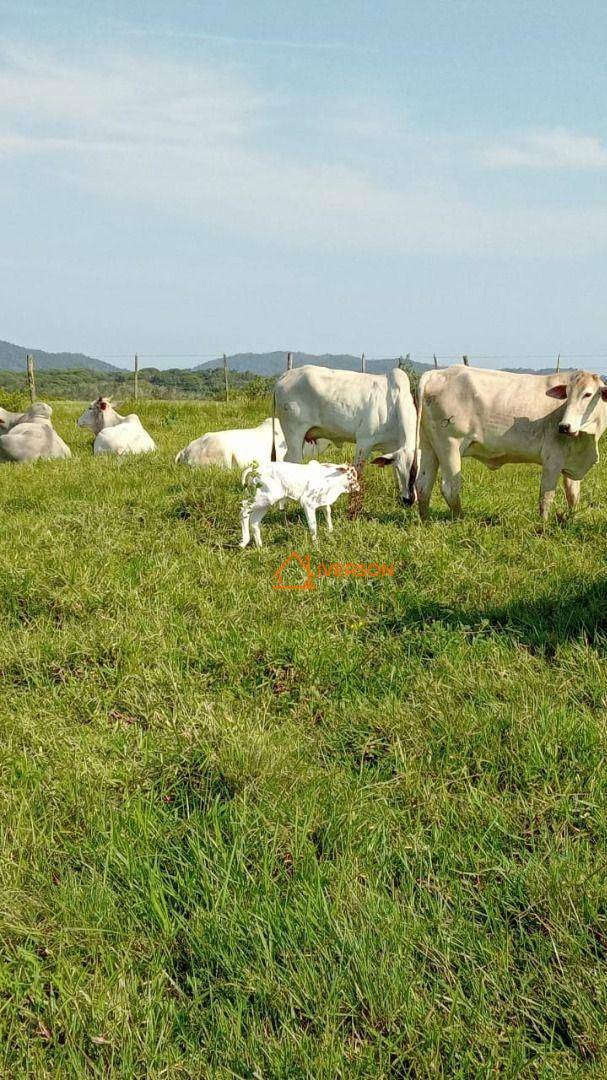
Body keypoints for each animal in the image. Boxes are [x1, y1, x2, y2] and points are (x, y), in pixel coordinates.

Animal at [273, 365, 419, 503]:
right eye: (402, 470)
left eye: (416, 470)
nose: (408, 500)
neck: (393, 406)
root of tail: (286, 375)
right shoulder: (364, 442)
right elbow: (357, 472)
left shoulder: (392, 449)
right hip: (294, 434)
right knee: (291, 460)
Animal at [412, 365, 604, 520]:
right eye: (567, 396)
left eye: (588, 394)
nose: (564, 427)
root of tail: (437, 373)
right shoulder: (552, 459)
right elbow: (546, 496)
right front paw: (543, 525)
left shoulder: (572, 458)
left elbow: (573, 494)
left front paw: (571, 520)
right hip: (449, 445)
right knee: (450, 488)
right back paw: (460, 519)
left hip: (429, 447)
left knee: (423, 486)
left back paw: (425, 520)